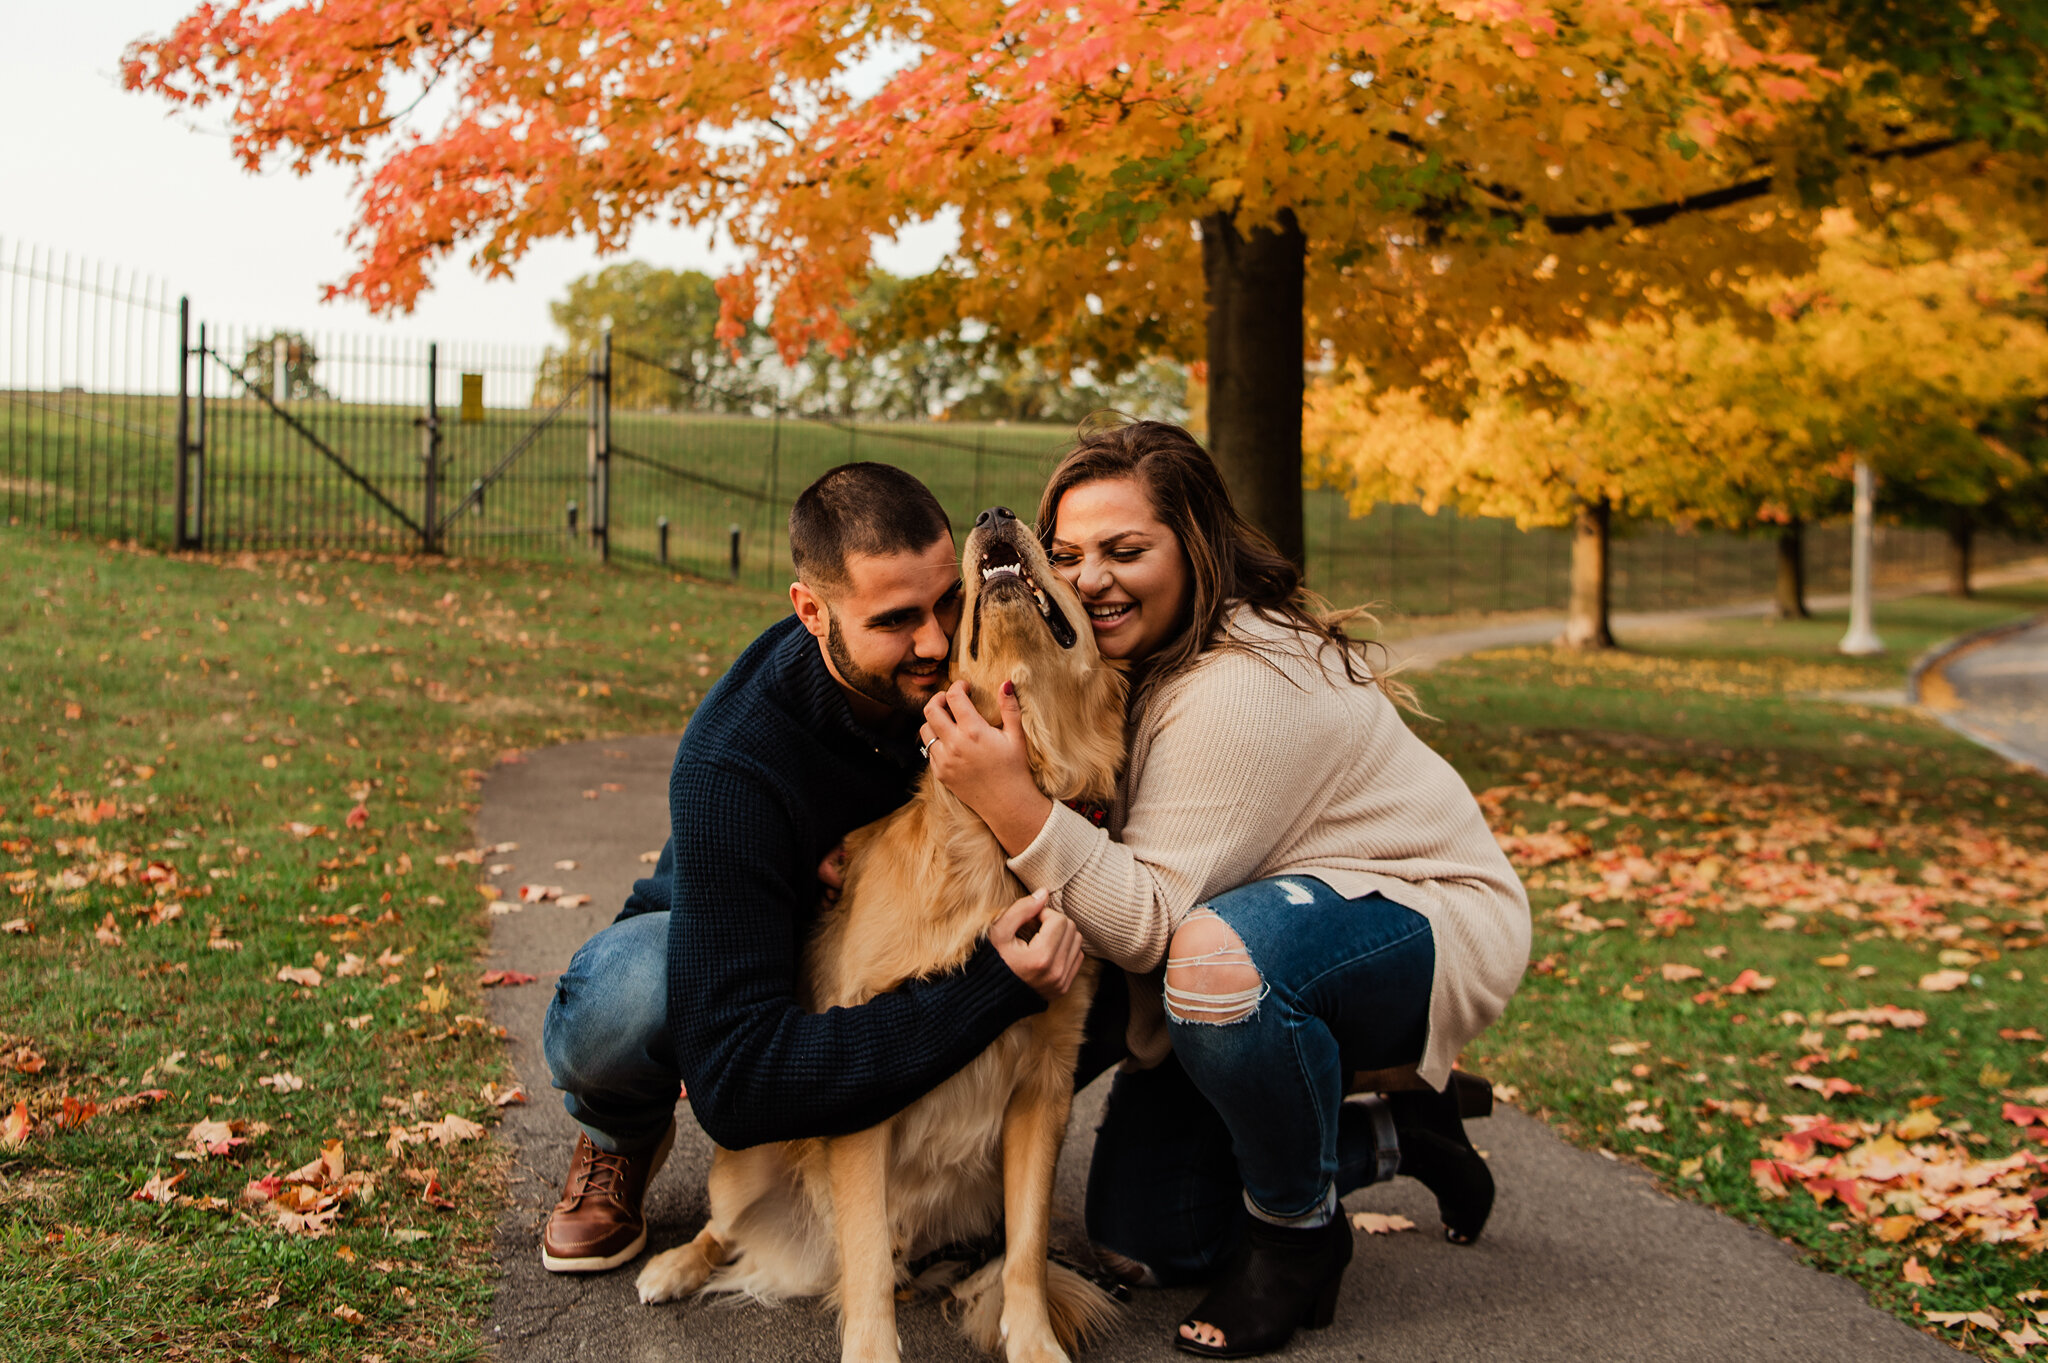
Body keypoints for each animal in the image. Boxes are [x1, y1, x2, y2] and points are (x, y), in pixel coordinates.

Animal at [634, 509, 1130, 1358]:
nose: (995, 515)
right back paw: (671, 1265)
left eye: (1061, 558)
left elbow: (1027, 1251)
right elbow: (864, 1265)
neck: (998, 828)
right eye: (958, 602)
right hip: (742, 1163)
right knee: (725, 1228)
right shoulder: (861, 1069)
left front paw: (1032, 1340)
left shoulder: (1046, 1087)